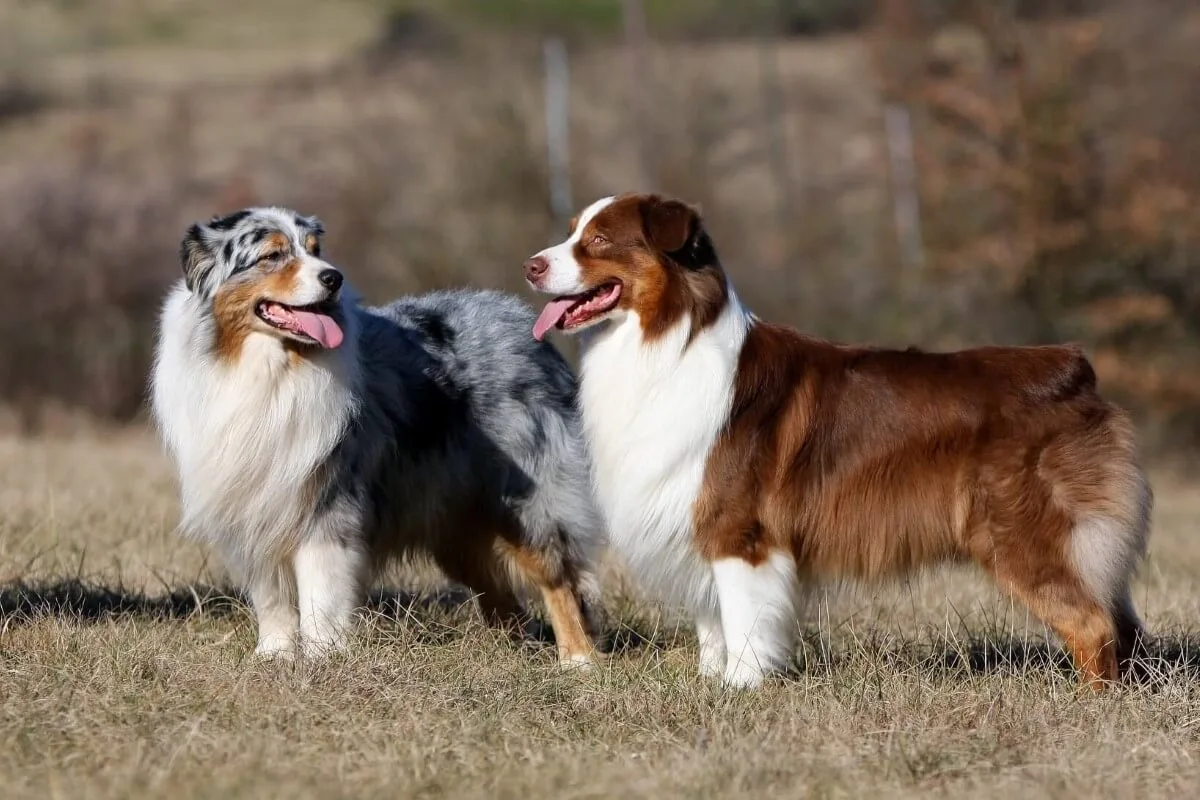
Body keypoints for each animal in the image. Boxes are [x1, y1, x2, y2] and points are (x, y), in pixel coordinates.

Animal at [525, 194, 1152, 690]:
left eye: (598, 240)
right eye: (571, 231)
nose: (530, 266)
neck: (668, 341)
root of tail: (1072, 367)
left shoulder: (740, 532)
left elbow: (744, 618)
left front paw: (740, 690)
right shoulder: (695, 519)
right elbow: (713, 620)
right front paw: (709, 682)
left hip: (1021, 534)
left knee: (1094, 624)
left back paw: (1091, 708)